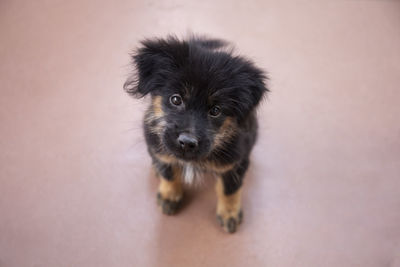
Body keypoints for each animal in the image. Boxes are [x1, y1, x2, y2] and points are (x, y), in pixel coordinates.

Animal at [124, 35, 268, 232]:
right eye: (176, 99)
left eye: (215, 110)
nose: (187, 142)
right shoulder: (156, 144)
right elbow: (168, 171)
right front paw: (169, 195)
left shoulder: (235, 161)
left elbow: (230, 188)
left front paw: (229, 213)